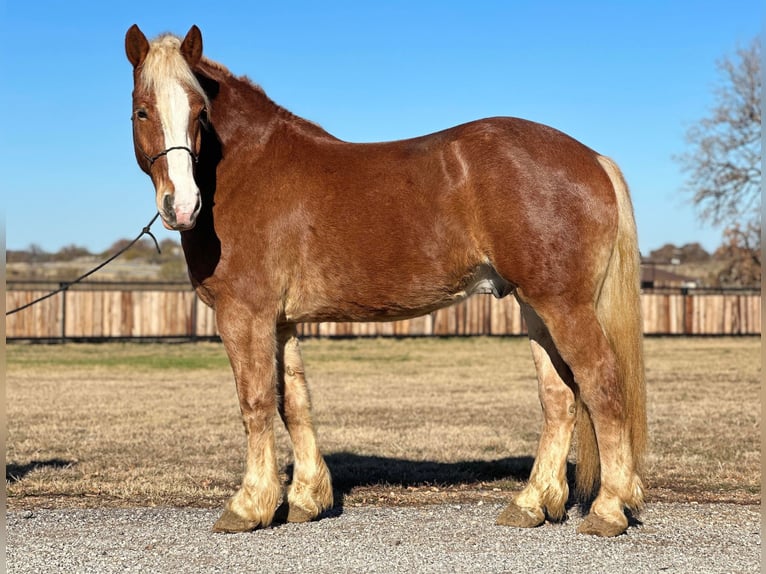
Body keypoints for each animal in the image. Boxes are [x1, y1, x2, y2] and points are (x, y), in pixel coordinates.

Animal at [126, 24, 648, 536]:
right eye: (143, 110)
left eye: (200, 113)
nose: (182, 206)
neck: (248, 169)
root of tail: (594, 159)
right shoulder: (280, 322)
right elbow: (293, 401)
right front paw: (306, 500)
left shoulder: (245, 314)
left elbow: (254, 401)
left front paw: (249, 505)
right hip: (534, 306)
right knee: (559, 398)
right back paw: (532, 503)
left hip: (563, 306)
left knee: (602, 385)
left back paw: (608, 509)